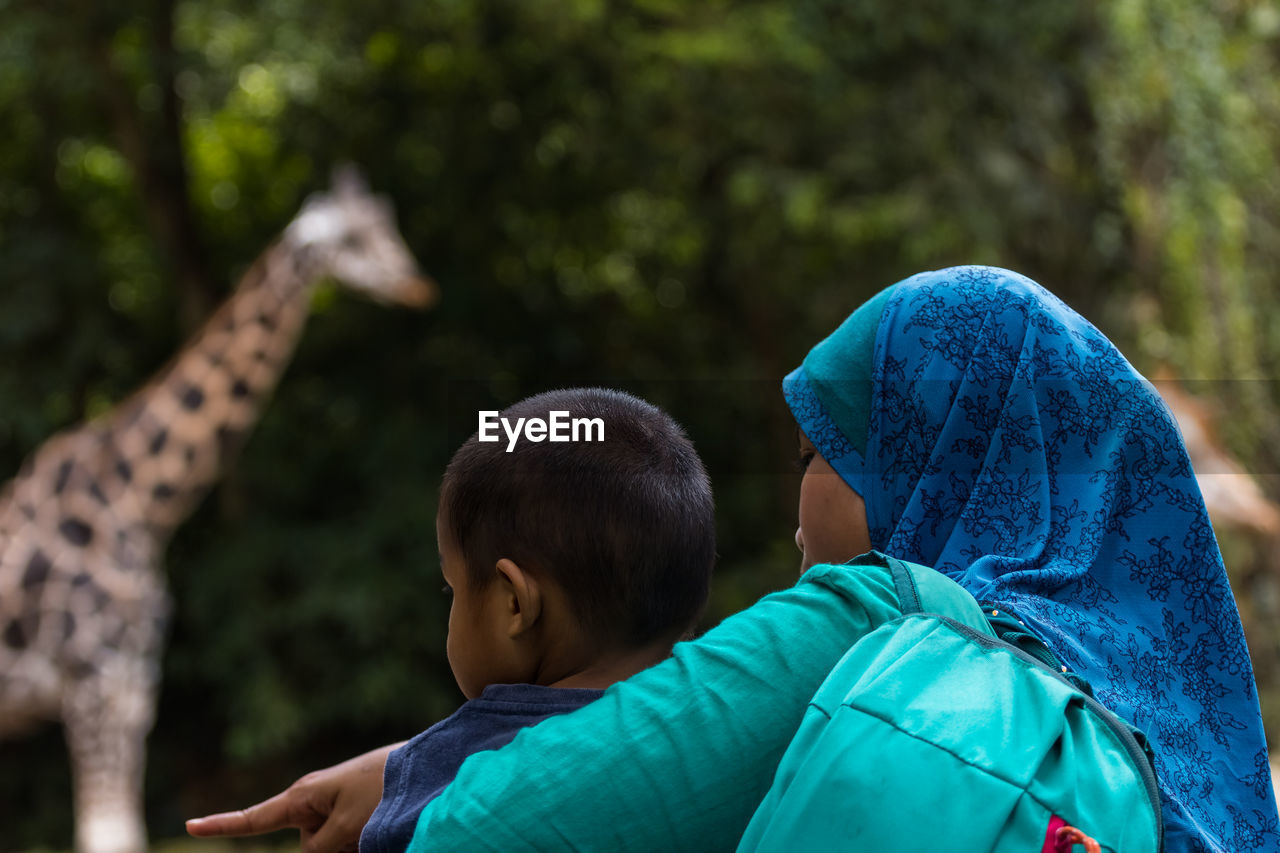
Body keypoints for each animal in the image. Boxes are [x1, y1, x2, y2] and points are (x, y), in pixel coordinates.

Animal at [0, 166, 435, 850]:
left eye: (387, 223)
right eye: (356, 238)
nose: (416, 283)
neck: (139, 500)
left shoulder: (134, 682)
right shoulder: (94, 680)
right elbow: (106, 833)